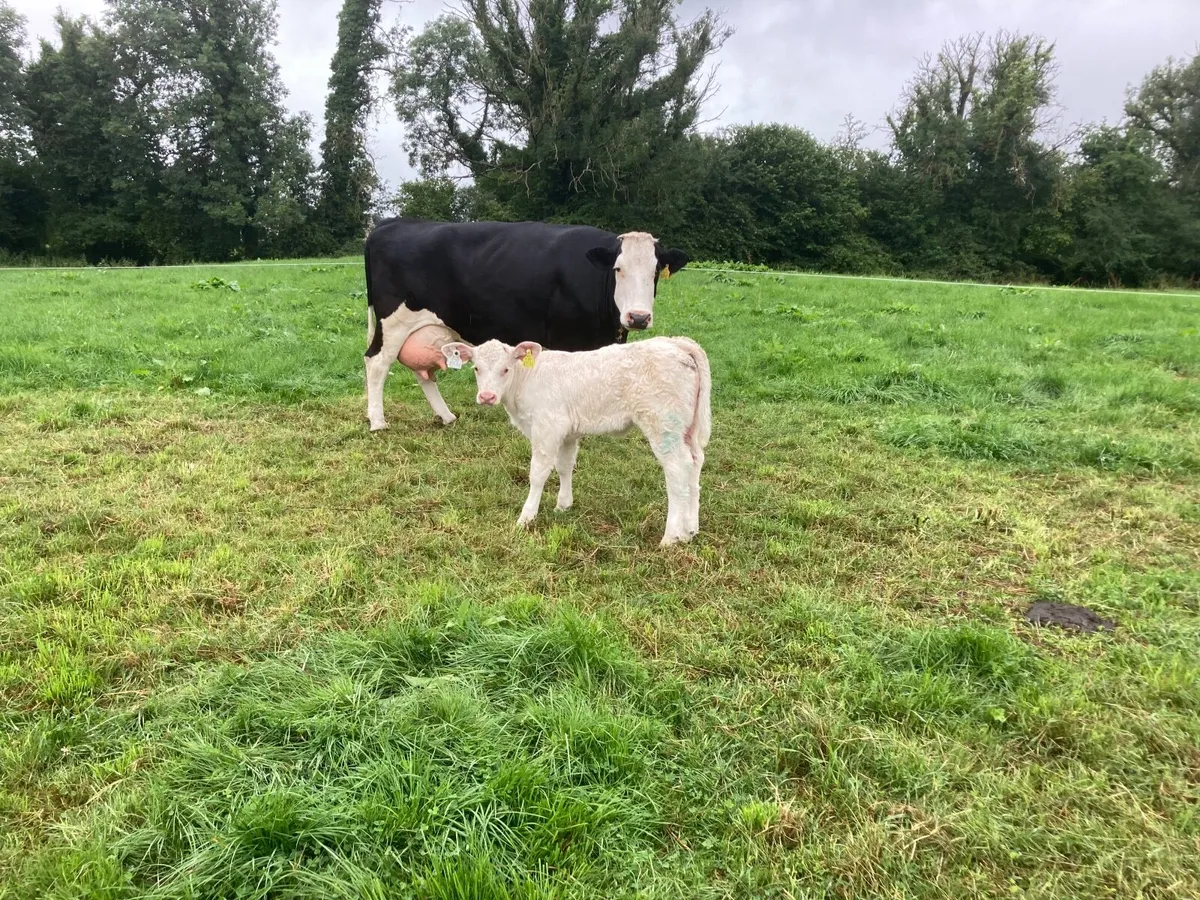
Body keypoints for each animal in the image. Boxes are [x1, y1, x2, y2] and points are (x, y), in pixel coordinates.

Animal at [362, 218, 689, 432]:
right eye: (618, 269)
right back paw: (378, 422)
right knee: (377, 363)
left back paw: (446, 416)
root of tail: (391, 223)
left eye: (655, 272)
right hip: (394, 322)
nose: (638, 317)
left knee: (421, 372)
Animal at [439, 335, 712, 546]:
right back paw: (690, 530)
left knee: (677, 472)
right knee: (695, 465)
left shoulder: (547, 428)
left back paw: (670, 536)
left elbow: (538, 473)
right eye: (476, 368)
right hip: (687, 430)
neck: (526, 381)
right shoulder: (567, 432)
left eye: (505, 369)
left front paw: (526, 517)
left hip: (664, 426)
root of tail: (676, 343)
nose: (486, 396)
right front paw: (563, 505)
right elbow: (565, 466)